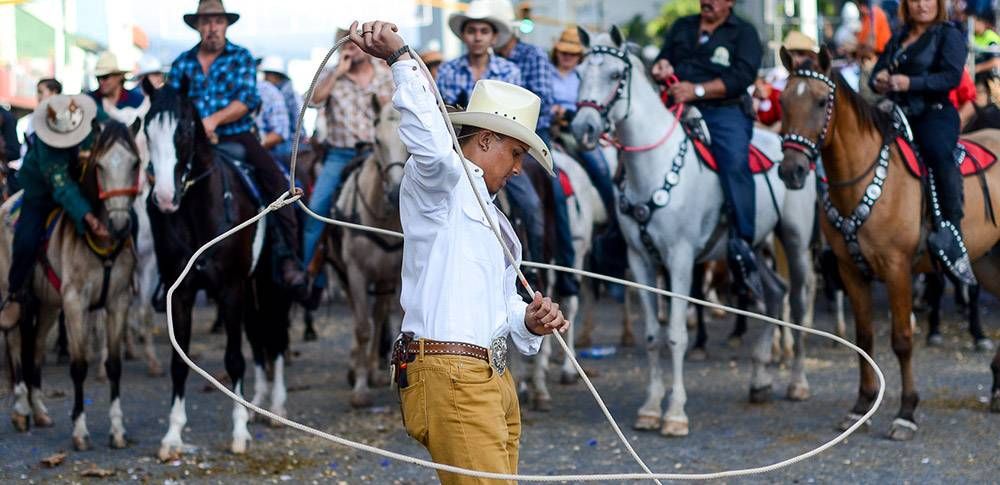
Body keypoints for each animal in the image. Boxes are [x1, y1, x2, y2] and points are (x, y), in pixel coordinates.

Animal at [572, 27, 812, 434]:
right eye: (579, 73)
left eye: (616, 76)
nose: (582, 128)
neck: (654, 166)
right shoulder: (640, 261)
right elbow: (653, 337)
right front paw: (651, 407)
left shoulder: (681, 259)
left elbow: (676, 336)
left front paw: (675, 413)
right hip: (750, 246)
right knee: (774, 294)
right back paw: (760, 380)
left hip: (793, 240)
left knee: (794, 300)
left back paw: (796, 383)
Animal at [780, 46, 1000, 438]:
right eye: (783, 101)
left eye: (821, 101)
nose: (791, 171)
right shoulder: (851, 270)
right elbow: (864, 337)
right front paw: (861, 406)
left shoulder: (898, 269)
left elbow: (902, 340)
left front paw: (906, 412)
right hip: (987, 260)